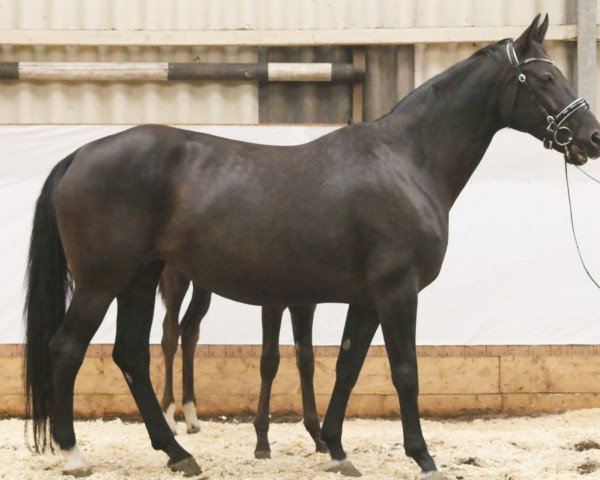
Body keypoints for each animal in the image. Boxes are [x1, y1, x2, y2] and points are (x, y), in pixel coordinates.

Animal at [157, 266, 326, 458]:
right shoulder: (272, 301)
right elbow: (269, 361)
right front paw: (262, 443)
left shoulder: (306, 303)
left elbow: (306, 361)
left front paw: (318, 439)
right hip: (176, 276)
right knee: (170, 334)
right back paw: (169, 418)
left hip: (202, 283)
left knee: (189, 331)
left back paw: (191, 418)